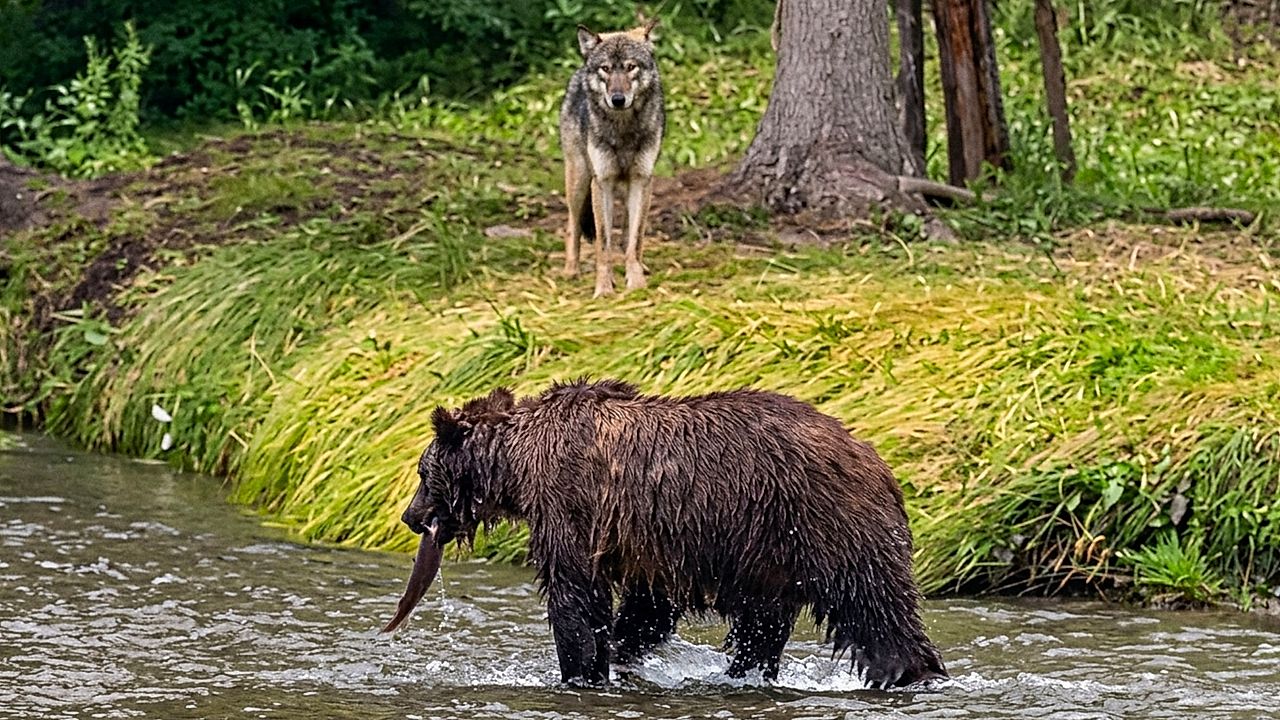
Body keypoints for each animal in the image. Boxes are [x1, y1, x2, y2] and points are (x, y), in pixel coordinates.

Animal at [386, 379, 948, 688]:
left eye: (421, 472)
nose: (411, 517)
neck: (518, 465)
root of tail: (877, 461)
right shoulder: (652, 542)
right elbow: (647, 606)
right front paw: (619, 652)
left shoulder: (571, 505)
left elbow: (575, 593)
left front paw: (579, 668)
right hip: (768, 551)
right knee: (763, 627)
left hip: (823, 522)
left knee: (874, 604)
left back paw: (911, 671)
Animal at [559, 20, 665, 297]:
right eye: (605, 69)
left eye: (630, 67)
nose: (618, 100)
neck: (623, 128)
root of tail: (579, 69)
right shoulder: (602, 183)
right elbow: (603, 245)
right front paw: (604, 289)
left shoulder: (641, 180)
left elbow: (634, 240)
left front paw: (636, 283)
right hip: (579, 179)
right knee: (572, 225)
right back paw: (570, 271)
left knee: (629, 234)